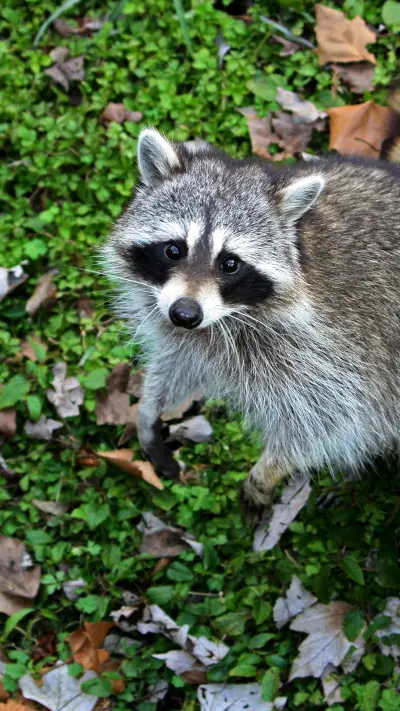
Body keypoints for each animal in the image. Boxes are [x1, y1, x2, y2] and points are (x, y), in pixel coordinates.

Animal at [102, 128, 400, 509]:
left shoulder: (336, 354)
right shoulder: (188, 336)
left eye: (230, 263)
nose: (185, 314)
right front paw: (149, 408)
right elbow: (175, 363)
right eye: (174, 249)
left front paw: (270, 469)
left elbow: (334, 422)